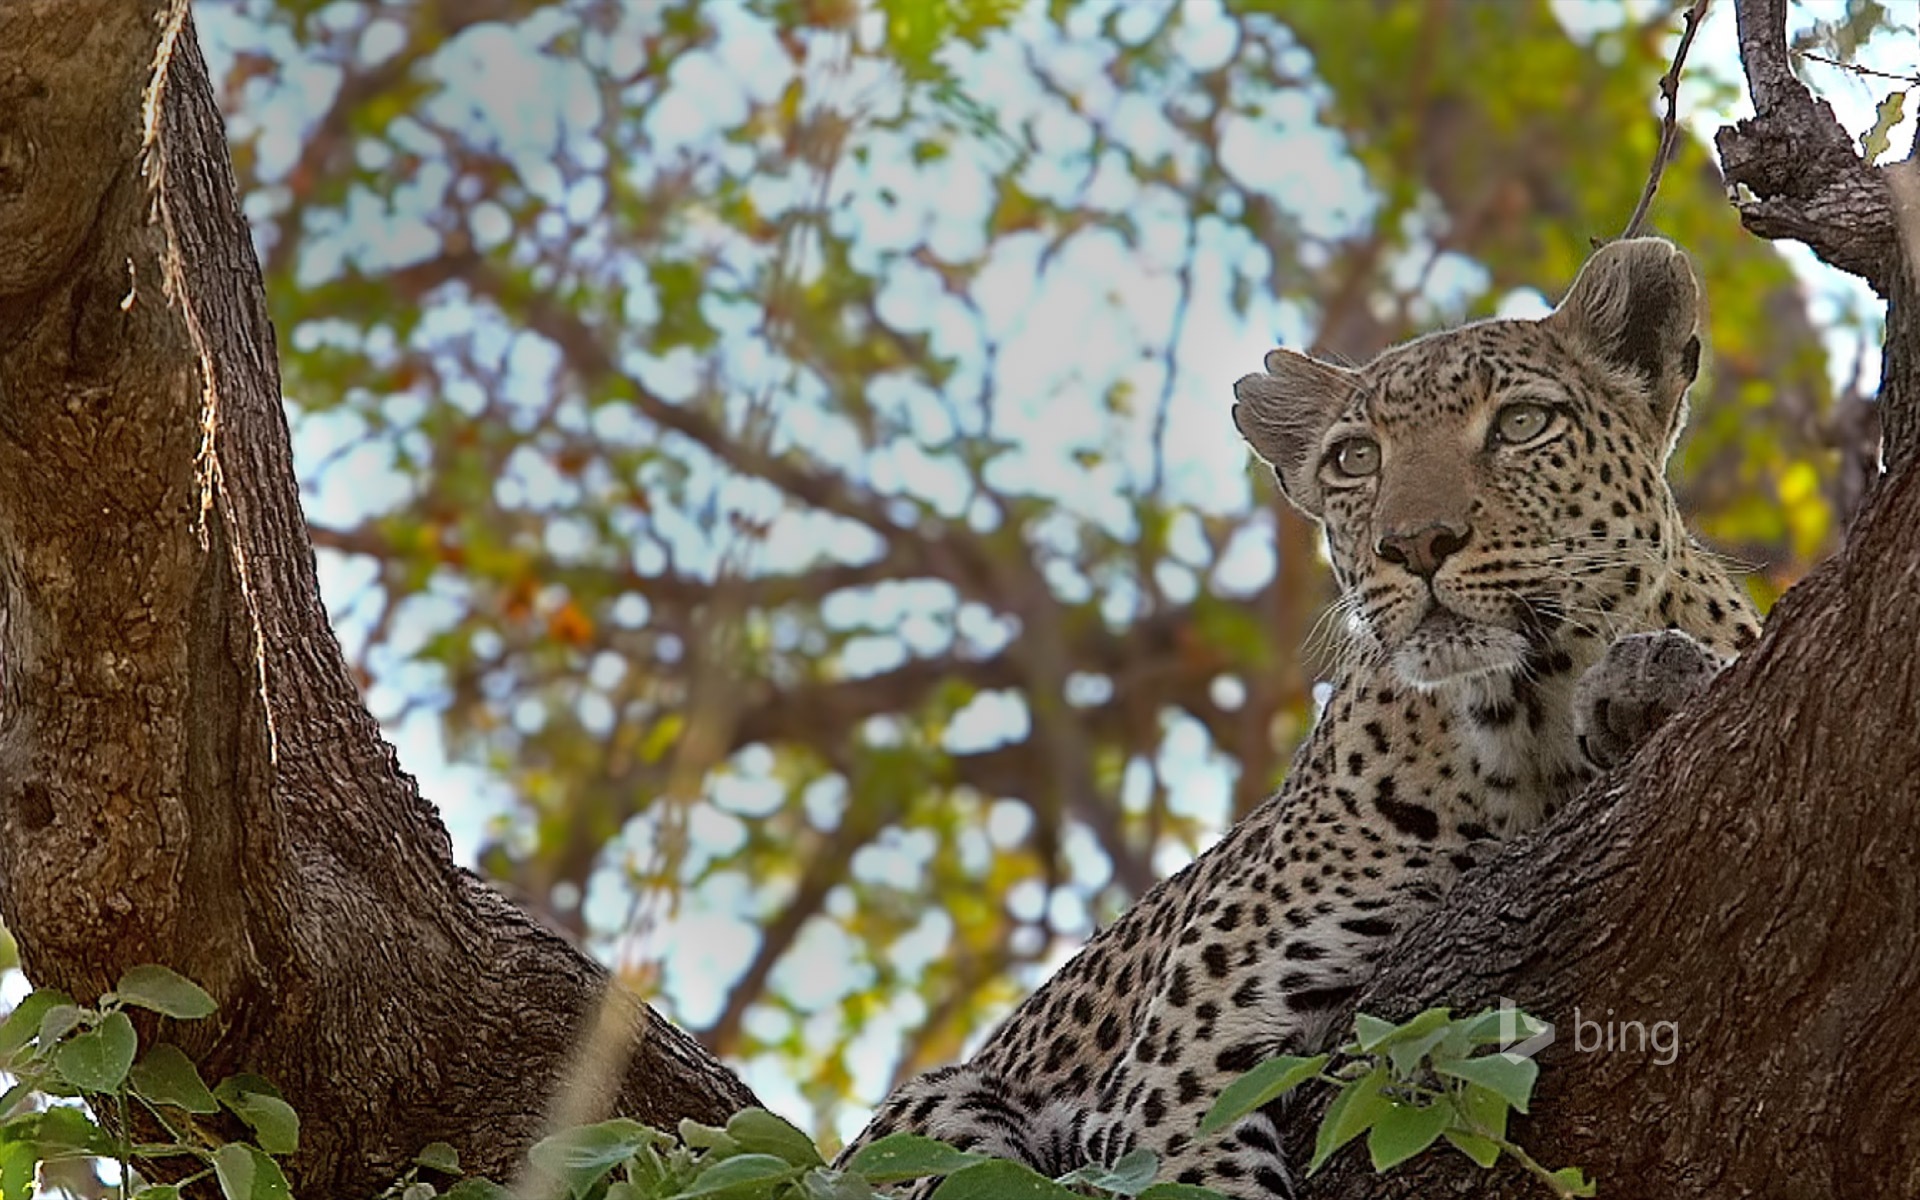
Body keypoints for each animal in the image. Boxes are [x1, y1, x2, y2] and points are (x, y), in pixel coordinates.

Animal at [840, 239, 1758, 1190]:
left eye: (1521, 424)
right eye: (1355, 460)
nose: (1415, 543)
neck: (1524, 722)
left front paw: (1647, 680)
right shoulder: (1188, 1046)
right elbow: (1201, 1170)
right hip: (939, 1108)